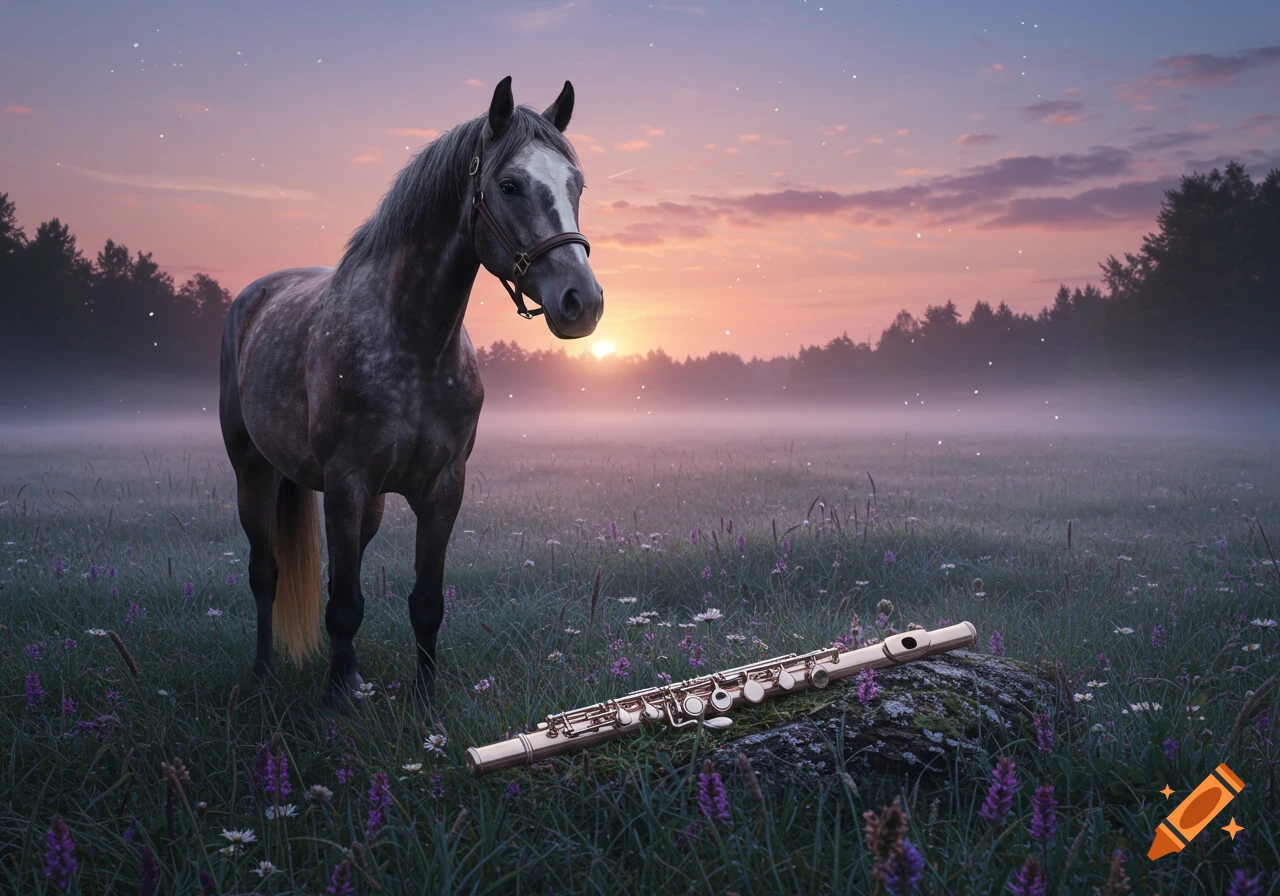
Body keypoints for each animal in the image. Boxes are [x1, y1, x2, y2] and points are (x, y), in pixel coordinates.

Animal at [219, 76, 602, 703]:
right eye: (510, 185)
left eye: (577, 184)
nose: (582, 301)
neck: (413, 345)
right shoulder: (344, 483)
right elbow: (344, 604)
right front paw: (337, 701)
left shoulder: (442, 489)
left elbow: (424, 602)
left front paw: (423, 698)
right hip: (254, 472)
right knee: (265, 574)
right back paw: (262, 673)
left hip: (368, 503)